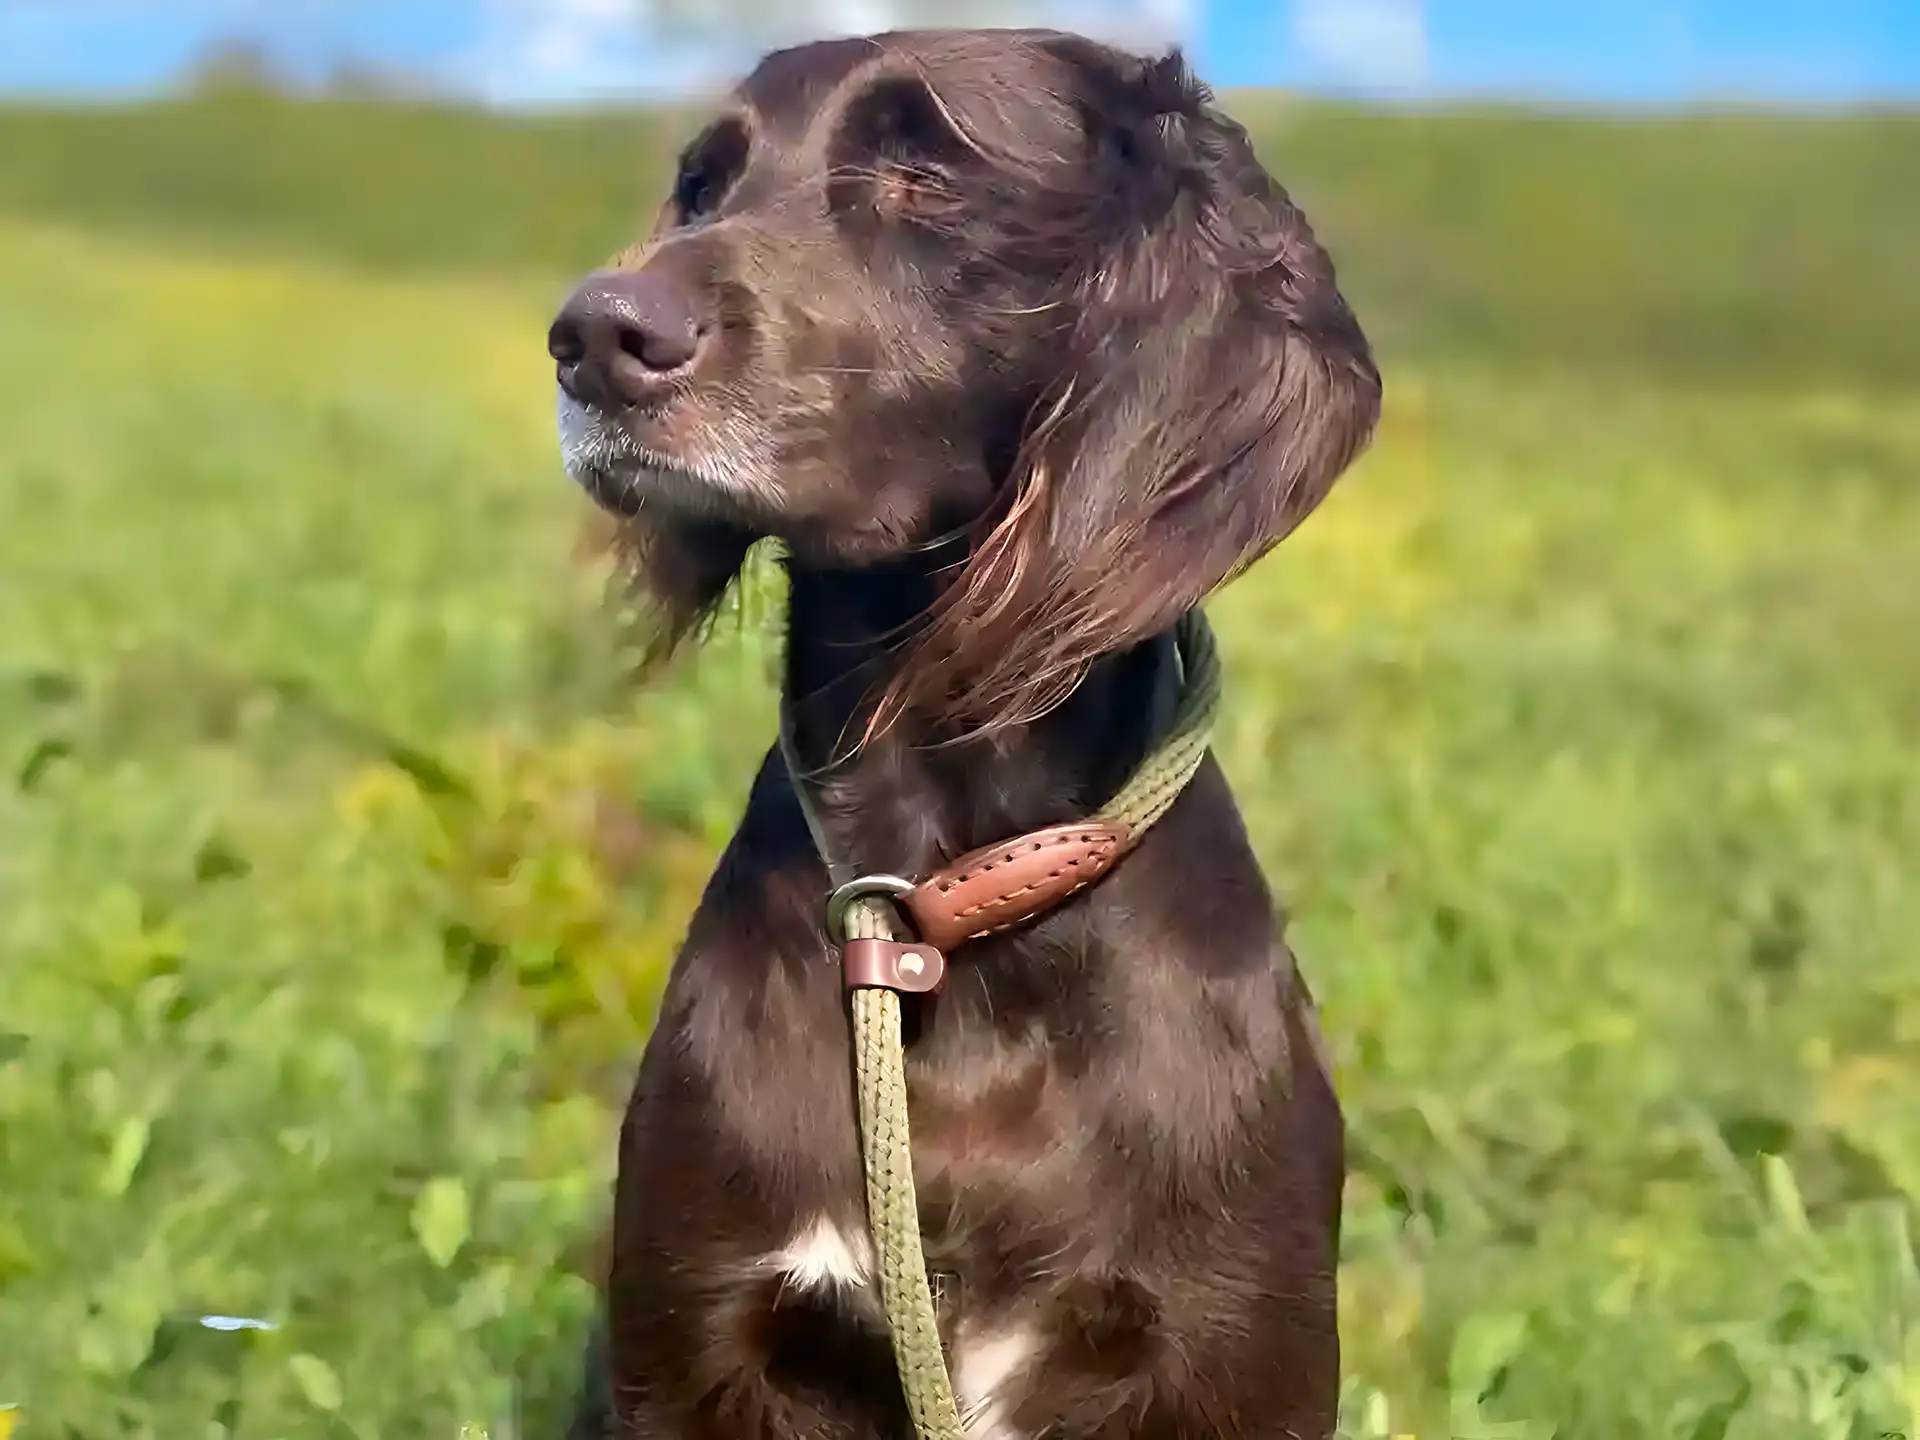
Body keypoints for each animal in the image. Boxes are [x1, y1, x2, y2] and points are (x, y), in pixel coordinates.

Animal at [552, 25, 1382, 1440]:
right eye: (705, 184)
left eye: (926, 177)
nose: (596, 334)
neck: (946, 918)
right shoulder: (694, 1334)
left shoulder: (1230, 1355)